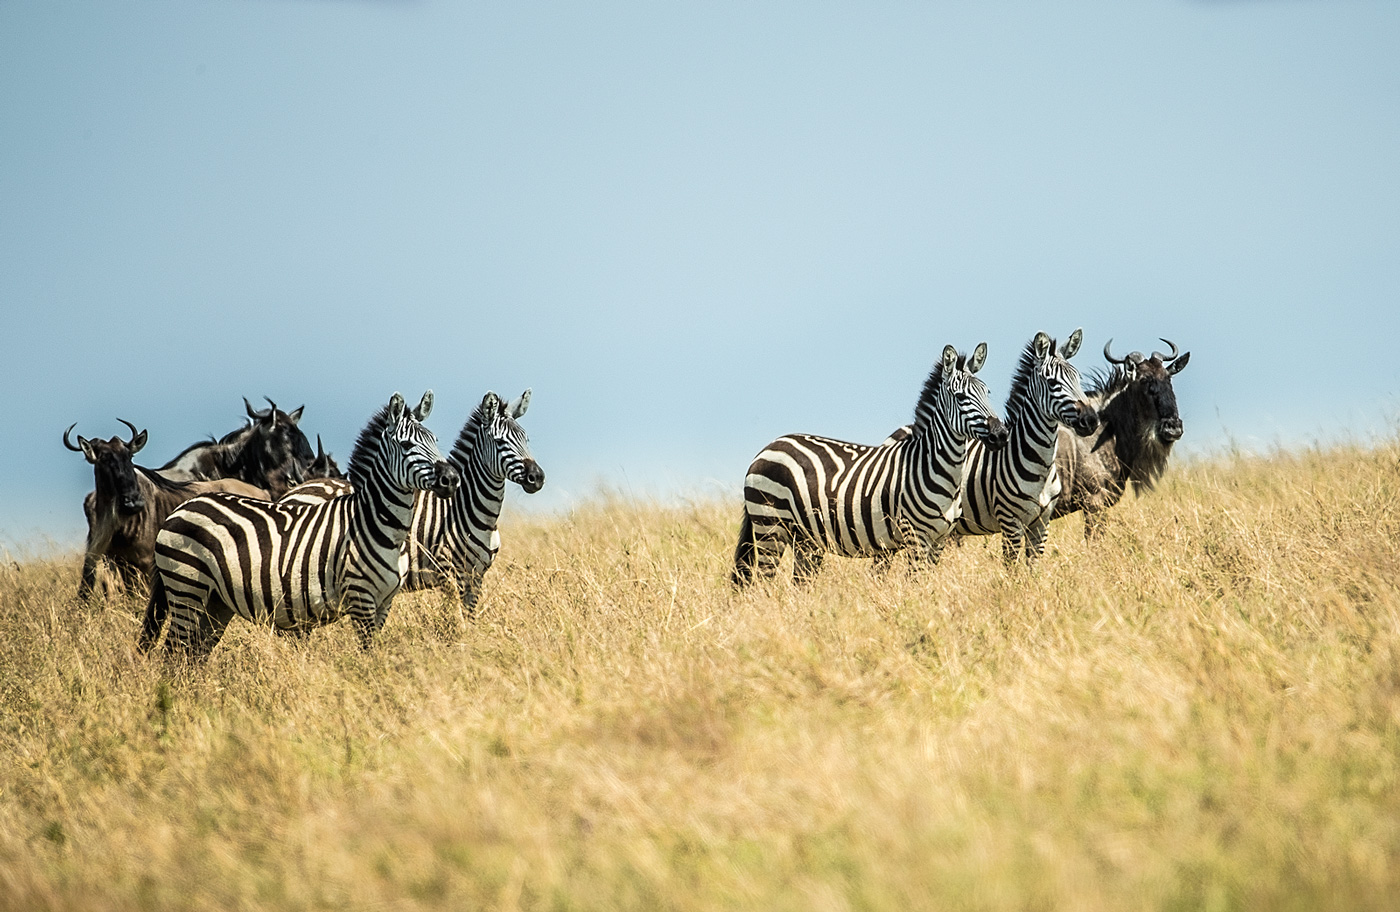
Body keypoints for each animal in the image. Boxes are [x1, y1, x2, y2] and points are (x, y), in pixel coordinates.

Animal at [135, 389, 456, 655]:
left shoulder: (384, 602)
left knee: (191, 656)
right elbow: (368, 656)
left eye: (435, 441)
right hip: (187, 589)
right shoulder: (360, 598)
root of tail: (181, 508)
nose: (451, 478)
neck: (376, 524)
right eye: (406, 445)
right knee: (173, 653)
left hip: (216, 603)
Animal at [280, 389, 546, 622]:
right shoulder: (450, 574)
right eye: (500, 442)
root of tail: (292, 491)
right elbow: (456, 621)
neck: (468, 510)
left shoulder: (476, 576)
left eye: (526, 439)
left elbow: (469, 619)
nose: (537, 477)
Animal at [733, 341, 1008, 585]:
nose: (1001, 435)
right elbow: (916, 584)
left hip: (804, 539)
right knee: (765, 583)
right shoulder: (915, 536)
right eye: (960, 397)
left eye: (988, 393)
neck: (932, 466)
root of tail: (769, 446)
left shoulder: (940, 539)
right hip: (770, 527)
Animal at [957, 327, 1097, 563]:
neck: (1041, 466)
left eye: (1078, 378)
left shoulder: (1042, 523)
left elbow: (1033, 566)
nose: (1091, 420)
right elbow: (1012, 567)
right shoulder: (1010, 522)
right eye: (1052, 384)